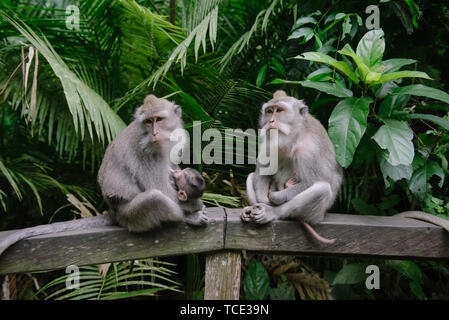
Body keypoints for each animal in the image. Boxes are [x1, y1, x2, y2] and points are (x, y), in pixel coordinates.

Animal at [0, 94, 206, 255]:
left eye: (159, 119)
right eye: (148, 121)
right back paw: (185, 218)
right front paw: (194, 206)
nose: (155, 133)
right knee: (154, 198)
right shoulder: (146, 154)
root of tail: (114, 213)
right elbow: (162, 189)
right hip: (131, 216)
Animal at [242, 89, 344, 244]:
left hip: (316, 215)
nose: (271, 121)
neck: (293, 137)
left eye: (279, 110)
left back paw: (272, 212)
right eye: (269, 111)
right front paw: (263, 198)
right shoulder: (269, 142)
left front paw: (273, 197)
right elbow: (262, 172)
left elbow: (311, 181)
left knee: (322, 189)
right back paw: (251, 209)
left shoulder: (309, 150)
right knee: (250, 177)